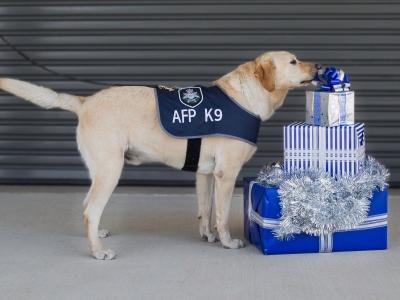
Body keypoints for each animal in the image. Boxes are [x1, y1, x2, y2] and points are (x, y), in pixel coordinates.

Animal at [0, 50, 318, 258]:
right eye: (293, 61)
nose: (318, 65)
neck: (246, 96)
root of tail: (85, 101)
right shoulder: (226, 174)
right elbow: (222, 214)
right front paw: (227, 242)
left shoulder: (205, 175)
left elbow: (205, 211)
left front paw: (209, 236)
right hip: (110, 170)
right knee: (91, 211)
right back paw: (98, 252)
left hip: (101, 171)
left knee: (86, 206)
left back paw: (97, 236)